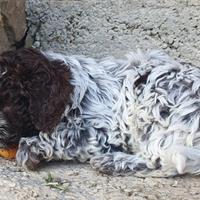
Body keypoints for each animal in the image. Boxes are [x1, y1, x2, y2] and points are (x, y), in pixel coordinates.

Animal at [0, 47, 200, 177]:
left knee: (164, 161)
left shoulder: (99, 131)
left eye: (14, 102)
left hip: (154, 98)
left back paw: (114, 162)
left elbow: (60, 136)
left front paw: (30, 147)